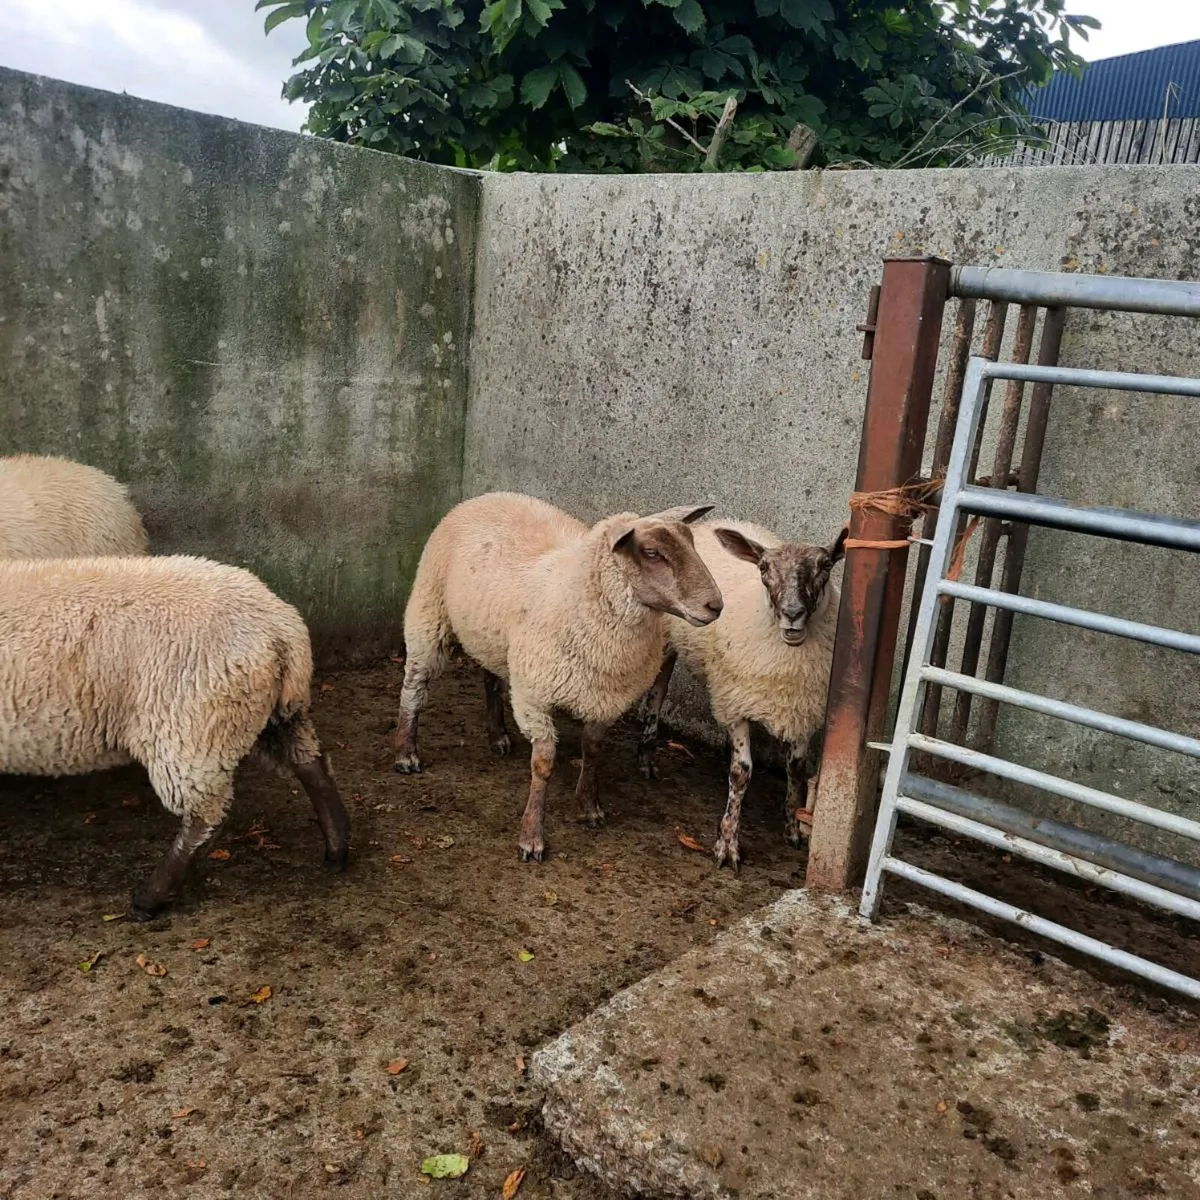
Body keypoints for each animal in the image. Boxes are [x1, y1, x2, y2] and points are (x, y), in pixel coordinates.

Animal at [0, 555, 350, 917]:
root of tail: (282, 627)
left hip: (190, 727)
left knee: (205, 814)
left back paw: (151, 897)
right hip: (274, 713)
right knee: (312, 766)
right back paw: (336, 849)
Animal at [394, 492, 724, 862]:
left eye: (692, 543)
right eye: (652, 552)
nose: (716, 606)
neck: (577, 593)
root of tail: (485, 495)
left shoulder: (605, 698)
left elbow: (592, 751)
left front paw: (589, 807)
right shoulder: (534, 696)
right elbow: (543, 764)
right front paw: (531, 837)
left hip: (492, 636)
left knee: (491, 679)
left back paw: (498, 736)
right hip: (429, 613)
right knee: (414, 686)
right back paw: (406, 752)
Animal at [637, 519, 847, 870]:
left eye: (826, 566)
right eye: (763, 568)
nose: (793, 613)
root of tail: (713, 522)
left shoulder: (802, 711)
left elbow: (796, 770)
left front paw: (793, 828)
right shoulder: (735, 705)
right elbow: (741, 773)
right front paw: (727, 844)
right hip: (666, 638)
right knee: (657, 691)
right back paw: (646, 756)